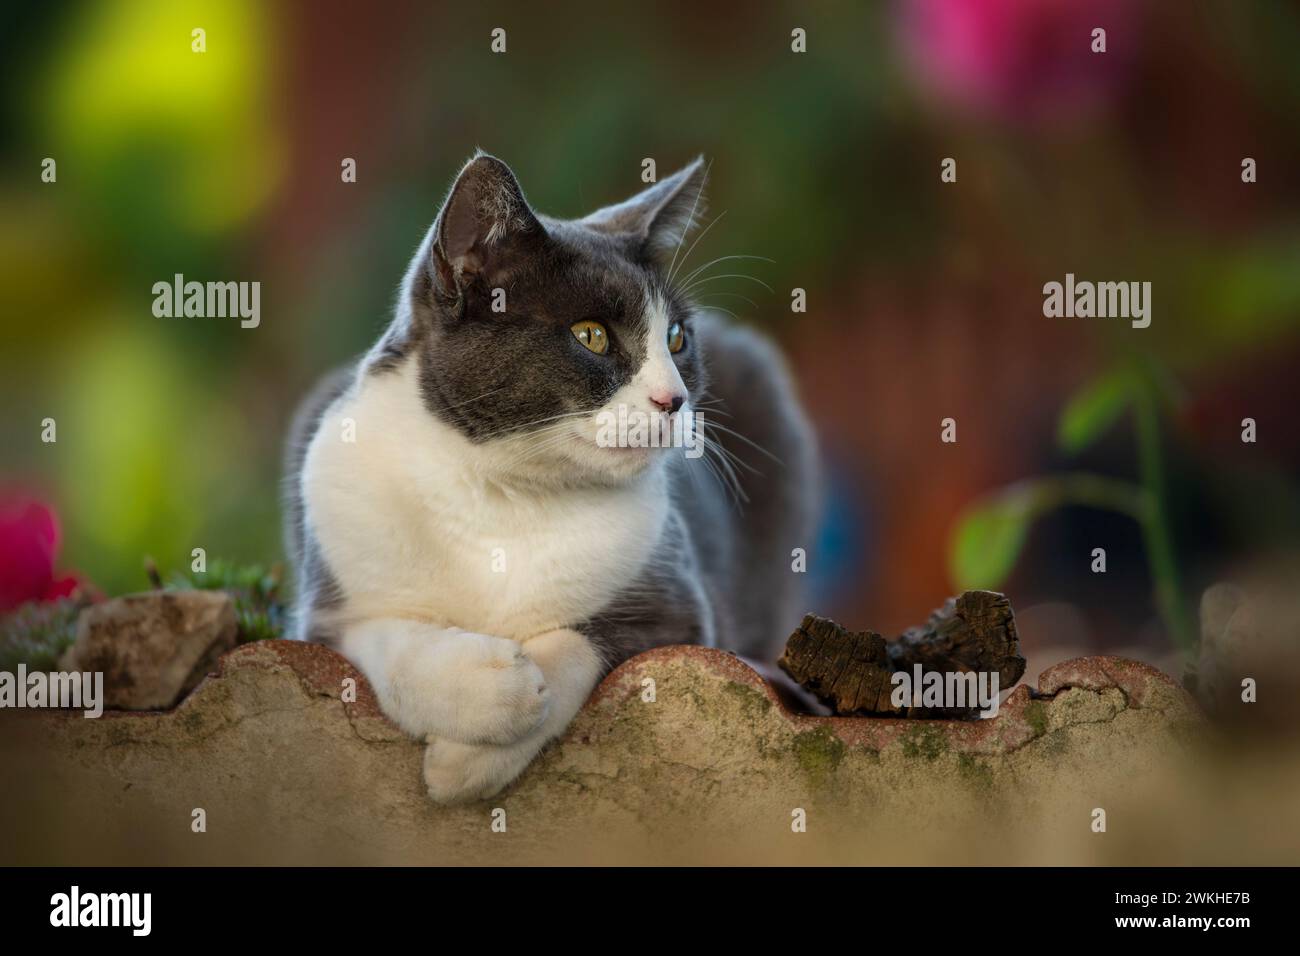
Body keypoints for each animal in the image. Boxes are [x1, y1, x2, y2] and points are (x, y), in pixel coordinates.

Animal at [284, 153, 816, 806]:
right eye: (590, 334)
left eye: (677, 339)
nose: (675, 399)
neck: (502, 494)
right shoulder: (326, 615)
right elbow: (387, 639)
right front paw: (491, 691)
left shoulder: (682, 610)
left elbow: (580, 643)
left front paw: (470, 756)